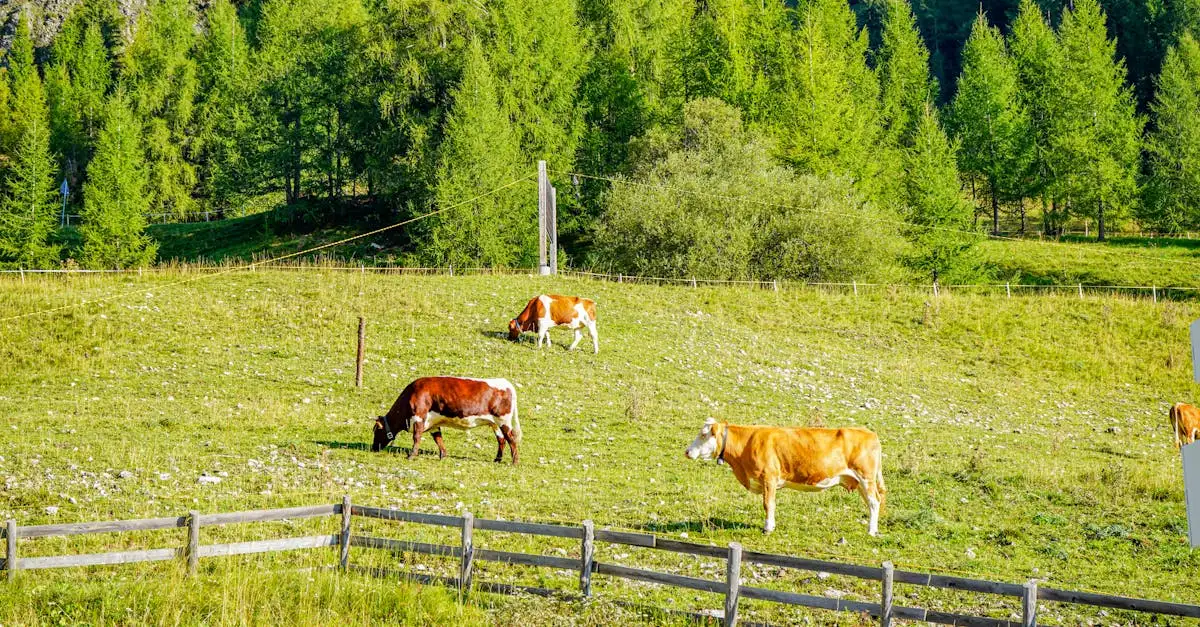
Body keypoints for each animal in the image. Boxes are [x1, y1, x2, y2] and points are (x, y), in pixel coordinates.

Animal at [371, 377, 521, 464]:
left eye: (376, 430)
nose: (373, 448)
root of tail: (506, 382)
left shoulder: (419, 417)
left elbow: (416, 437)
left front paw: (411, 455)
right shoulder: (432, 423)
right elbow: (438, 439)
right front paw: (443, 455)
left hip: (503, 420)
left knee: (511, 439)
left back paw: (514, 462)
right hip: (494, 423)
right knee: (501, 440)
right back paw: (497, 459)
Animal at [684, 418, 886, 536]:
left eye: (703, 434)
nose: (687, 451)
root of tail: (869, 433)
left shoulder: (769, 477)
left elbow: (768, 504)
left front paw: (767, 528)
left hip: (866, 477)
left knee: (874, 502)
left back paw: (871, 531)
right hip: (860, 481)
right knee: (871, 503)